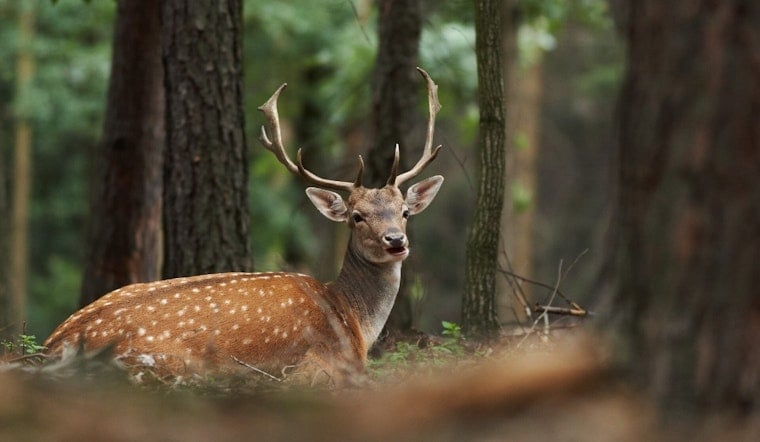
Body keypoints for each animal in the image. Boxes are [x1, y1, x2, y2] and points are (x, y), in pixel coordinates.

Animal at [43, 67, 444, 385]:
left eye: (404, 212)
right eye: (357, 216)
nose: (396, 241)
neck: (355, 322)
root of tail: (54, 344)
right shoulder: (323, 363)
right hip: (166, 363)